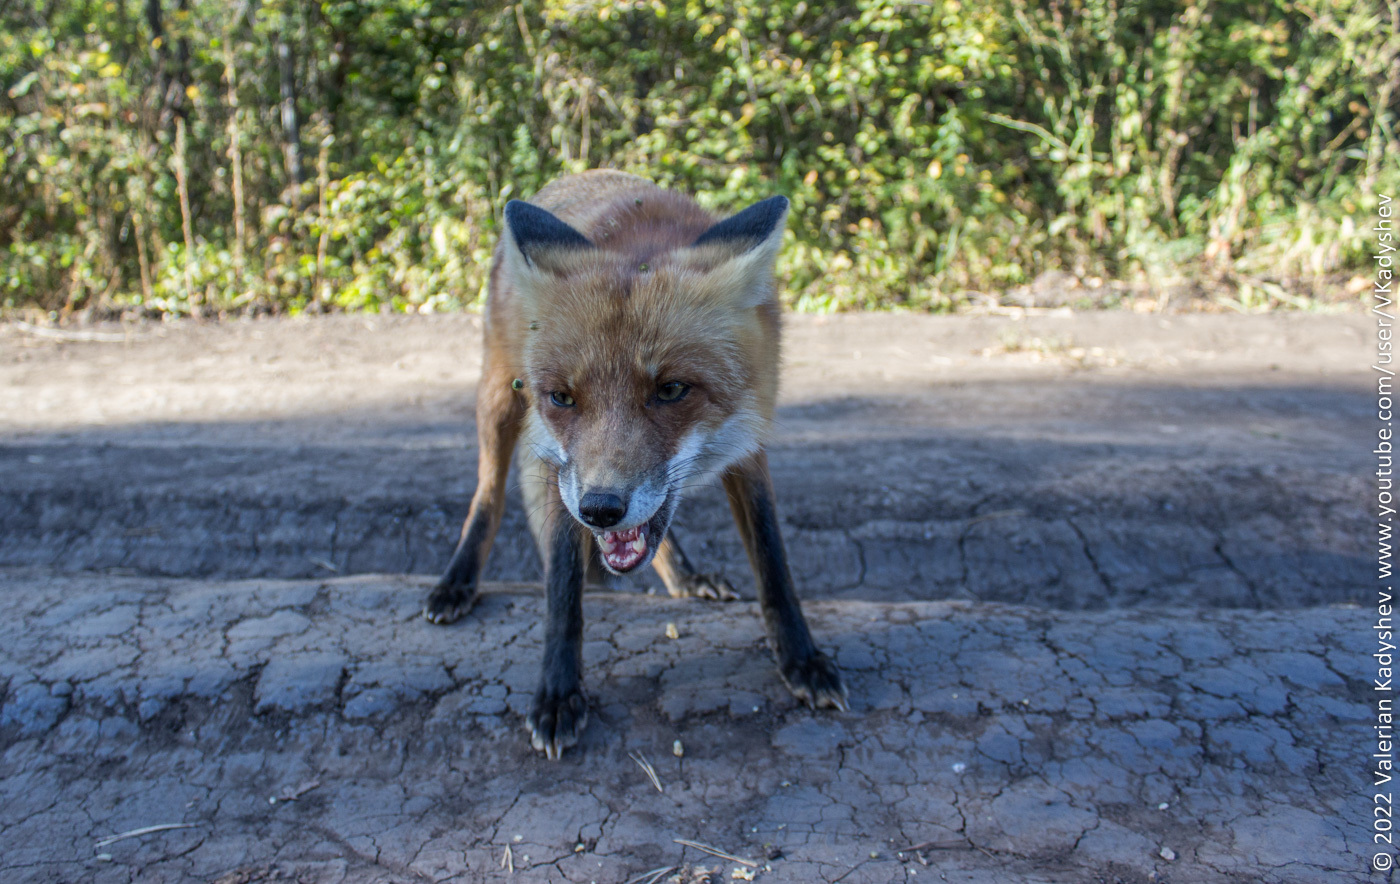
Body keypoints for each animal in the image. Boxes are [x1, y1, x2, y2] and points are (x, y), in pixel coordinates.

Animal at [422, 173, 840, 762]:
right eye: (562, 398)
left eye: (671, 390)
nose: (599, 510)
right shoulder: (562, 467)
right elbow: (562, 588)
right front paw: (558, 693)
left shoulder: (749, 446)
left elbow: (772, 561)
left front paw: (802, 659)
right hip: (500, 401)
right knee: (489, 496)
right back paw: (457, 580)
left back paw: (685, 576)